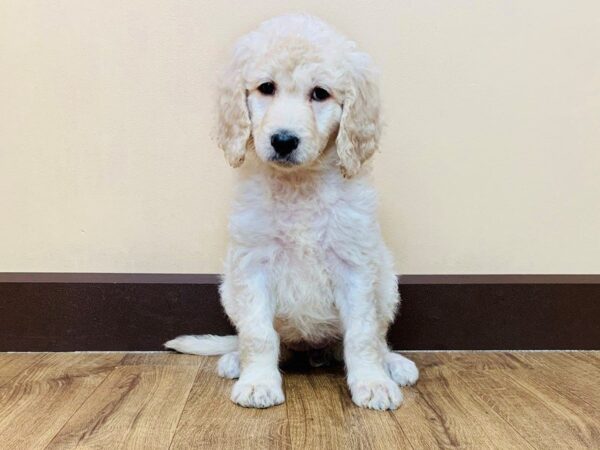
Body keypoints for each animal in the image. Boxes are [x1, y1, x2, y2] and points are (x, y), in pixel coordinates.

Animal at [164, 14, 418, 410]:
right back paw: (236, 359)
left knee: (376, 337)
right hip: (229, 286)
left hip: (387, 281)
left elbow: (362, 334)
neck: (298, 184)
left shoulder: (355, 264)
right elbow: (257, 333)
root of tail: (311, 349)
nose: (283, 141)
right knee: (258, 338)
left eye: (320, 93)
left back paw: (392, 364)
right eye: (266, 87)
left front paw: (373, 382)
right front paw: (258, 383)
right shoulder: (252, 264)